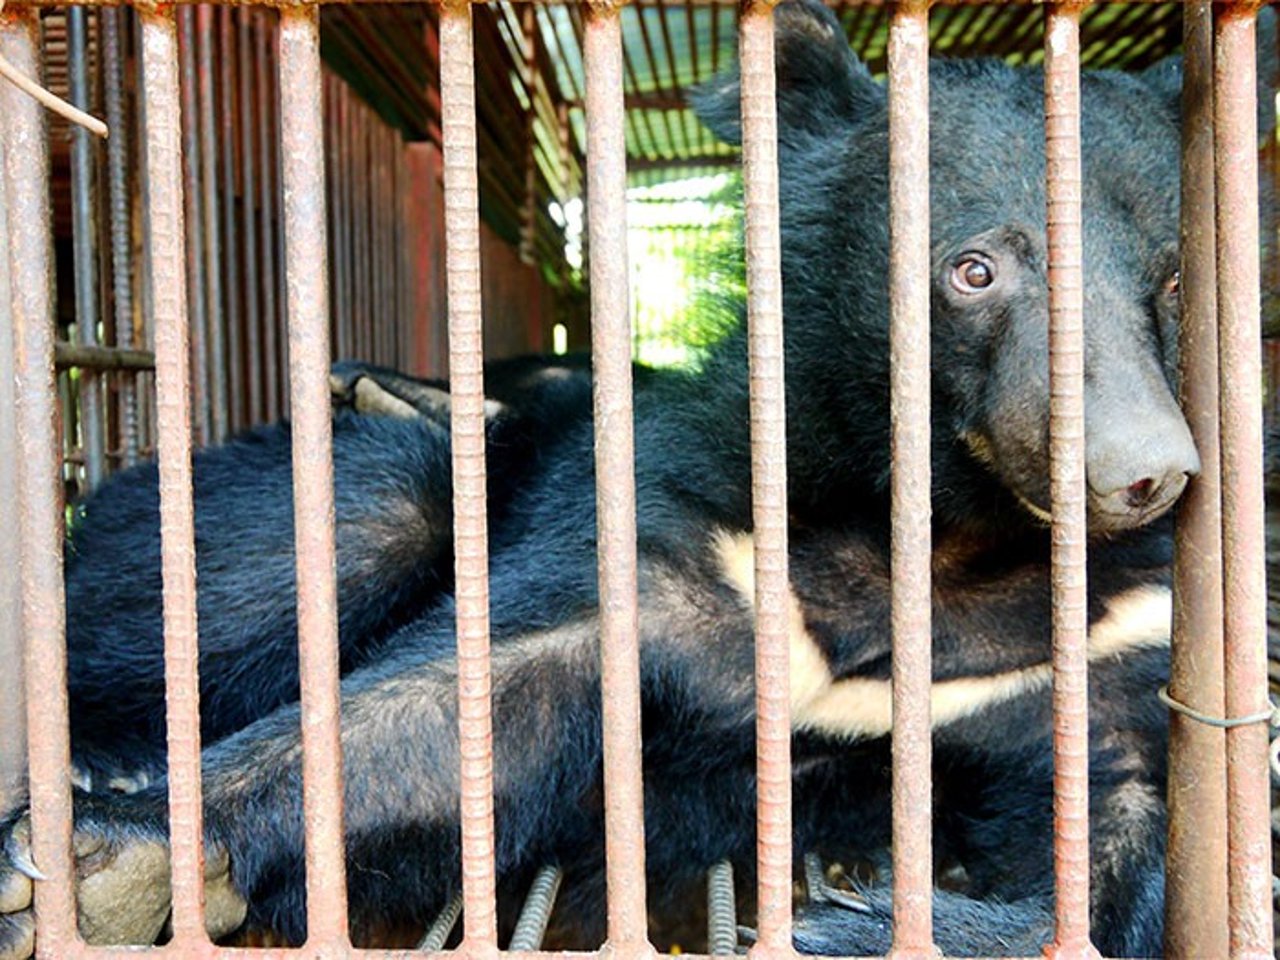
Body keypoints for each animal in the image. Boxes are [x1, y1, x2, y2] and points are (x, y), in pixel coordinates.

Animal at [0, 1, 1259, 957]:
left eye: (1171, 276)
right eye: (973, 269)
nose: (1143, 473)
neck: (941, 538)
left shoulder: (1103, 635)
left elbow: (1123, 832)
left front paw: (851, 917)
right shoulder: (682, 529)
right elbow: (459, 703)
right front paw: (98, 865)